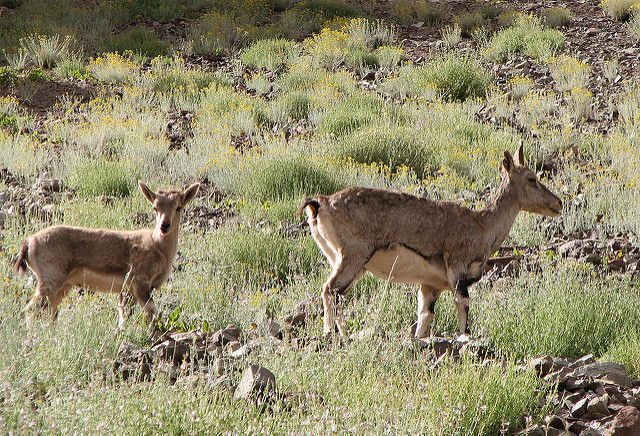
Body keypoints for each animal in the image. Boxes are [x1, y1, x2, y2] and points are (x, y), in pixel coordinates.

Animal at [15, 181, 200, 330]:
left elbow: (127, 314)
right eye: (155, 207)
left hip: (63, 286)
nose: (164, 226)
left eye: (178, 207)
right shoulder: (139, 283)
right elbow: (149, 312)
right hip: (50, 281)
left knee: (49, 311)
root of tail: (29, 242)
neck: (157, 246)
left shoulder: (130, 291)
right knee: (31, 309)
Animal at [298, 145, 560, 338]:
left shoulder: (430, 285)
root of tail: (321, 203)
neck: (482, 225)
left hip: (347, 262)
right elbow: (463, 303)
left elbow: (425, 315)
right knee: (330, 290)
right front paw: (464, 337)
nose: (557, 203)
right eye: (531, 178)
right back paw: (333, 334)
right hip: (352, 257)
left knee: (337, 294)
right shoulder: (457, 267)